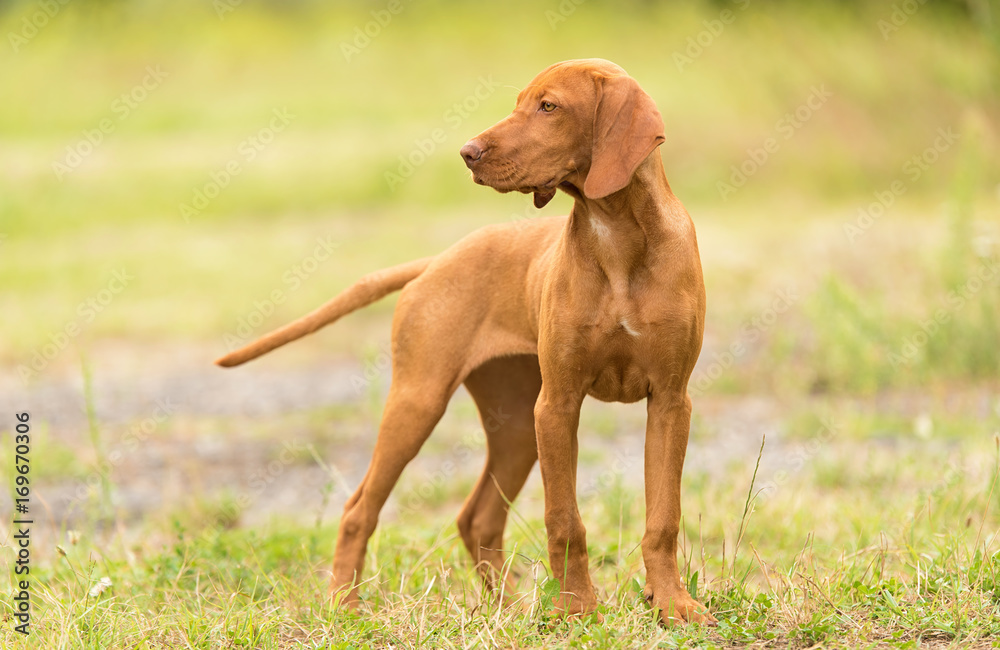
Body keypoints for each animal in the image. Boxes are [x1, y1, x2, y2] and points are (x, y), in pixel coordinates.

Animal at [219, 60, 716, 624]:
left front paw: (672, 604)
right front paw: (575, 610)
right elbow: (564, 519)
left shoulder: (671, 402)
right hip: (425, 402)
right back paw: (344, 604)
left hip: (518, 425)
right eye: (519, 102)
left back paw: (507, 607)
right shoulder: (559, 404)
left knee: (477, 518)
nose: (467, 152)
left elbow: (664, 517)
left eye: (549, 106)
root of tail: (436, 260)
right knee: (359, 510)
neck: (616, 235)